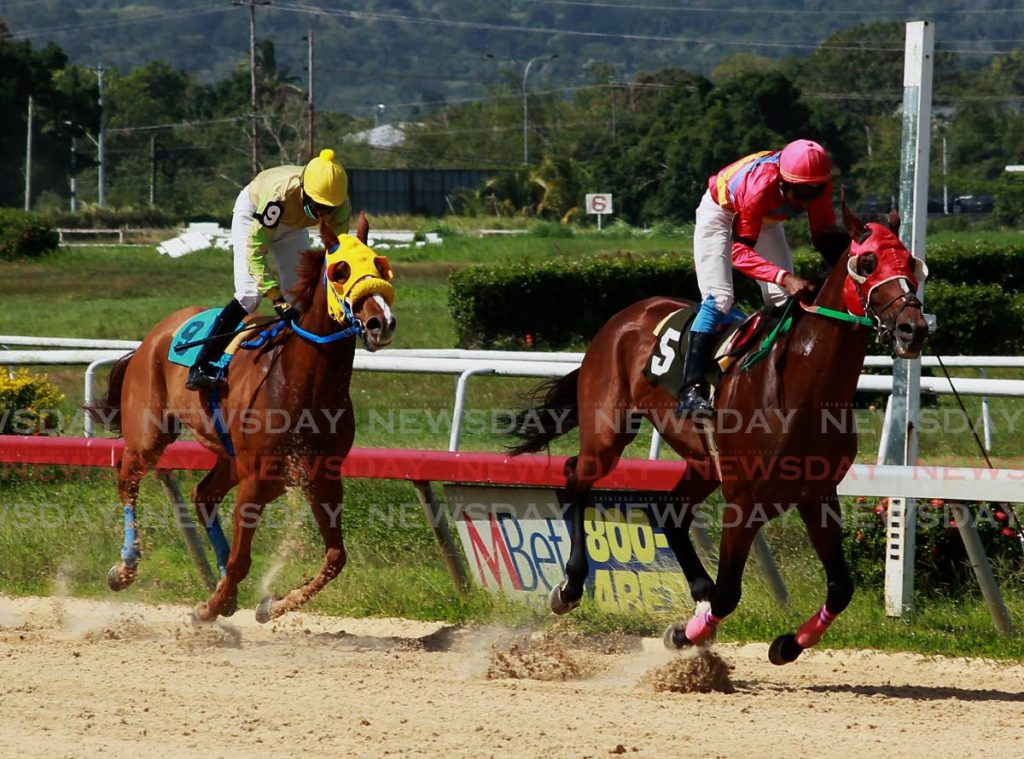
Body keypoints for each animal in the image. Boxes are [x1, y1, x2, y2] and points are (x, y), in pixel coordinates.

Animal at [89, 213, 395, 622]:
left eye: (381, 265)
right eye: (341, 270)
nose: (381, 322)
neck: (303, 384)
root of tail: (154, 336)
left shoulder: (320, 477)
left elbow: (335, 557)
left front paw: (272, 603)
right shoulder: (256, 480)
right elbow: (241, 560)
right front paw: (211, 605)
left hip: (233, 457)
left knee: (204, 494)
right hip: (150, 434)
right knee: (128, 478)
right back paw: (126, 567)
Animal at [509, 205, 929, 663]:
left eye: (912, 263)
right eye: (867, 262)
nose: (913, 329)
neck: (803, 388)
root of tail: (625, 315)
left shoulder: (816, 495)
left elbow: (840, 588)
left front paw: (786, 645)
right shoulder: (743, 501)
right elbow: (729, 593)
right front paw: (684, 634)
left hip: (703, 461)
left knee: (670, 511)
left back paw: (699, 590)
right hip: (608, 433)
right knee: (574, 478)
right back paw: (570, 585)